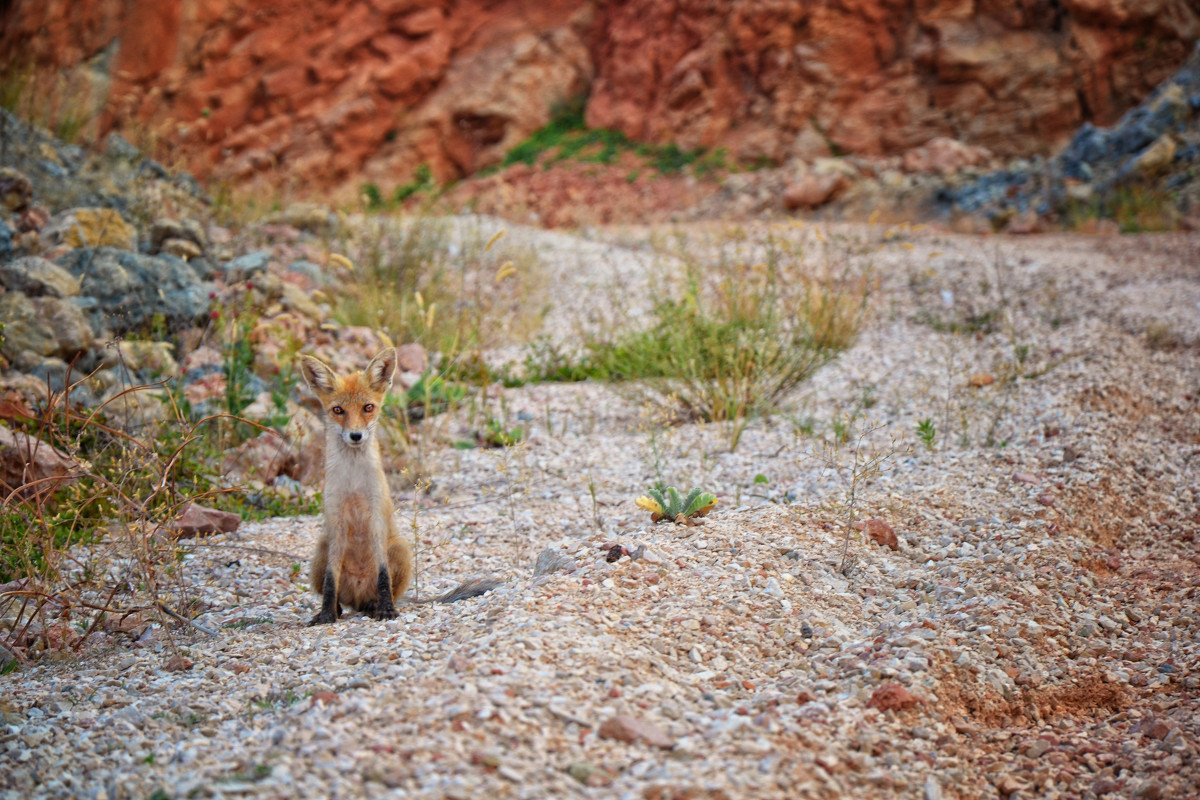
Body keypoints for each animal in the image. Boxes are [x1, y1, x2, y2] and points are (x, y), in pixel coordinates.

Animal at [300, 347, 496, 628]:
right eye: (338, 410)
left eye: (368, 407)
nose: (356, 436)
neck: (353, 482)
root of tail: (357, 598)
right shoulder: (335, 522)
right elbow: (330, 580)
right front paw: (326, 614)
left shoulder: (376, 519)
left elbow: (383, 576)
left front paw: (387, 610)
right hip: (321, 549)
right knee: (340, 596)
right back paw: (339, 609)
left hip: (400, 547)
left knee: (384, 591)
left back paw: (375, 606)